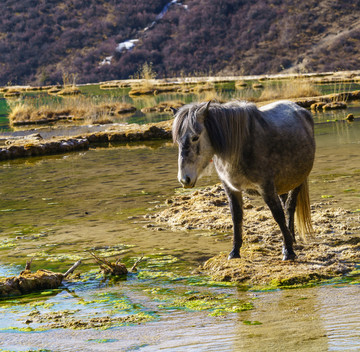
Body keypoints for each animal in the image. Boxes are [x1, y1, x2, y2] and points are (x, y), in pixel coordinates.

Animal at [172, 100, 316, 260]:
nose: (184, 179)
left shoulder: (266, 188)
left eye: (195, 137)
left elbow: (278, 215)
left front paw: (288, 251)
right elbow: (236, 217)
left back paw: (292, 239)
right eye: (178, 141)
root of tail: (300, 110)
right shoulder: (231, 189)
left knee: (290, 207)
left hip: (298, 180)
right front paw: (234, 252)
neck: (240, 147)